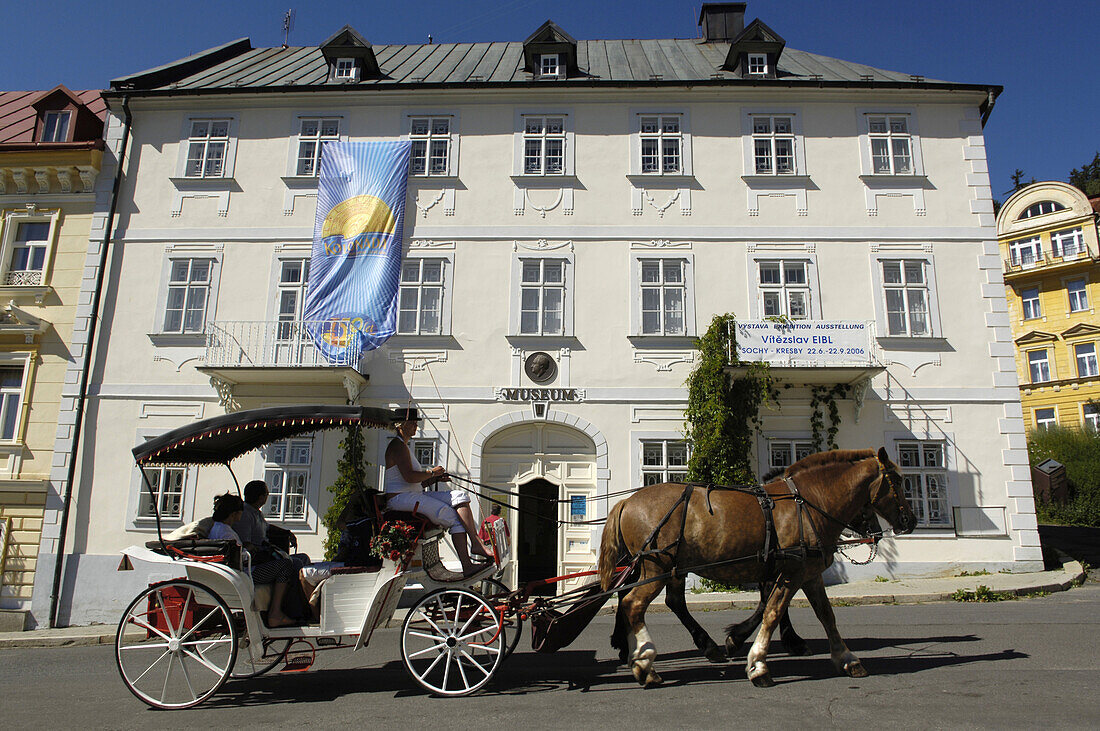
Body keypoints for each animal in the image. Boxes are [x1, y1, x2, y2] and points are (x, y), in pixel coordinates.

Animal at [598, 444, 915, 690]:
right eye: (898, 482)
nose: (909, 521)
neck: (808, 502)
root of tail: (626, 502)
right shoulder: (790, 573)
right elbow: (772, 612)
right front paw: (757, 663)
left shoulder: (807, 573)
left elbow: (826, 615)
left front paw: (847, 658)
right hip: (656, 568)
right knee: (634, 604)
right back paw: (646, 664)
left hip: (664, 568)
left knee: (645, 602)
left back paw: (646, 654)